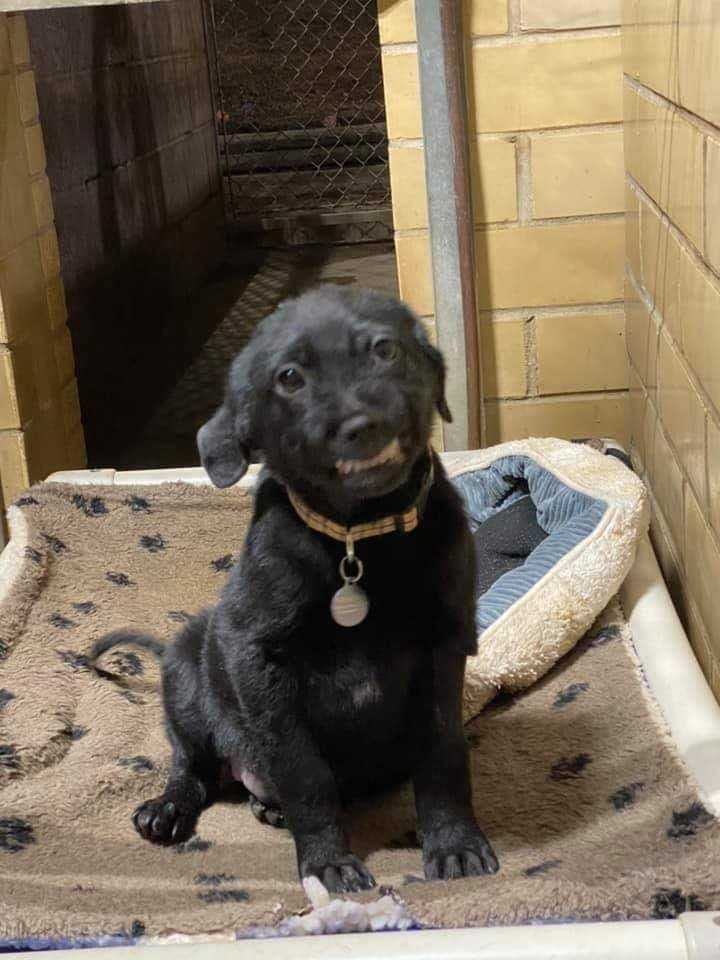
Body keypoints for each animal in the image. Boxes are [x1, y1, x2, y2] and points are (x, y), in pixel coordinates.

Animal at [93, 284, 498, 892]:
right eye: (289, 378)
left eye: (385, 349)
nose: (361, 425)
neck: (357, 540)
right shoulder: (258, 660)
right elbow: (305, 773)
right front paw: (328, 865)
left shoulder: (444, 647)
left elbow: (443, 756)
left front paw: (455, 844)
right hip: (187, 668)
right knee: (192, 767)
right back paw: (168, 809)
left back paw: (267, 807)